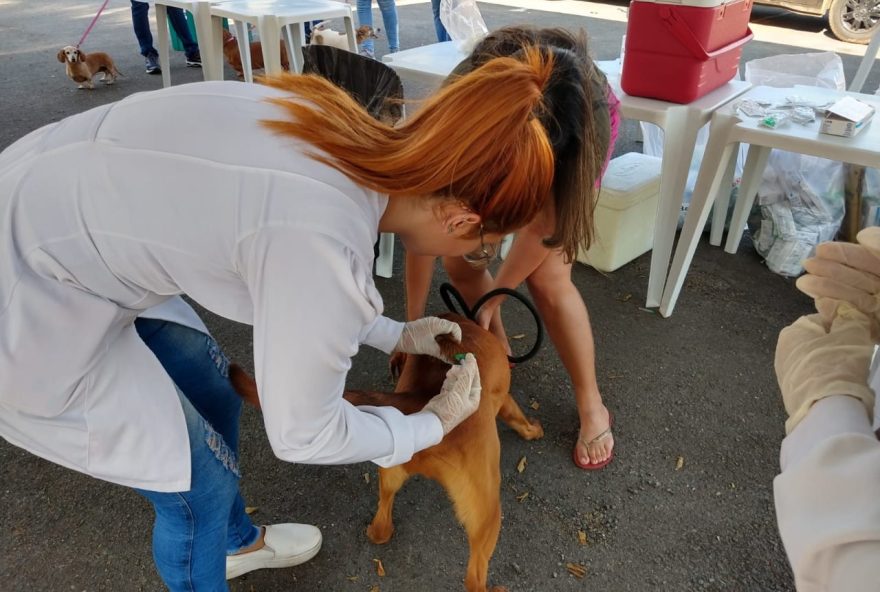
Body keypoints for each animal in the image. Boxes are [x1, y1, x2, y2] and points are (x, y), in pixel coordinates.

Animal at [227, 312, 544, 588]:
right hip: (486, 511)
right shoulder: (505, 401)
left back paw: (378, 530)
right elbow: (517, 416)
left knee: (382, 520)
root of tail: (423, 400)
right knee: (474, 578)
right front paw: (533, 430)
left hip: (391, 466)